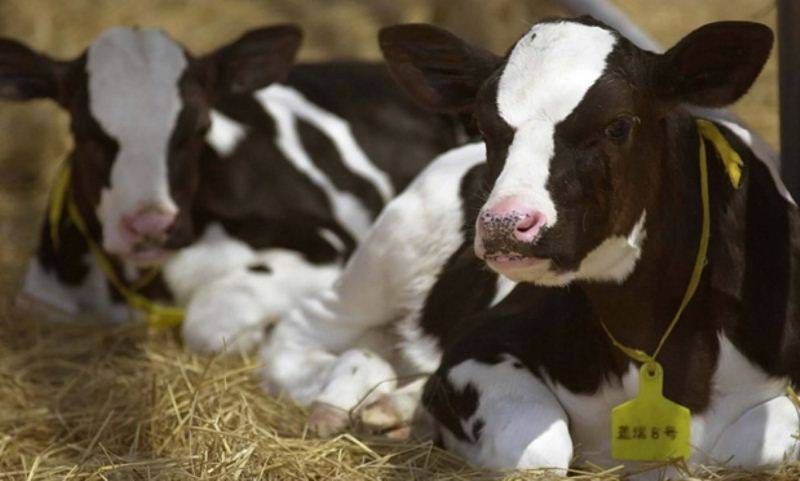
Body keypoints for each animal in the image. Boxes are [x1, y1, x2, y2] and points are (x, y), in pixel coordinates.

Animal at [1, 24, 462, 350]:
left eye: (198, 127)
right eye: (83, 131)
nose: (151, 226)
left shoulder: (326, 245)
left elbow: (211, 319)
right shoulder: (45, 299)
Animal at [260, 15, 800, 476]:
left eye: (617, 124)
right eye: (484, 125)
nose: (505, 223)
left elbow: (774, 434)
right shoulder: (476, 348)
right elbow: (541, 449)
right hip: (388, 250)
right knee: (302, 331)